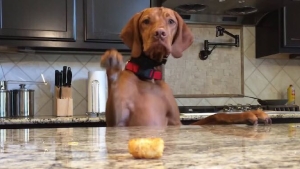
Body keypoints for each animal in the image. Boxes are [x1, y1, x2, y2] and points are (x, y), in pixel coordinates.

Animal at [101, 6, 272, 127]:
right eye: (146, 21)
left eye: (171, 21)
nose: (160, 34)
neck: (148, 76)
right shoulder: (118, 123)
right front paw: (113, 68)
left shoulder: (177, 124)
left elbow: (217, 115)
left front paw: (252, 113)